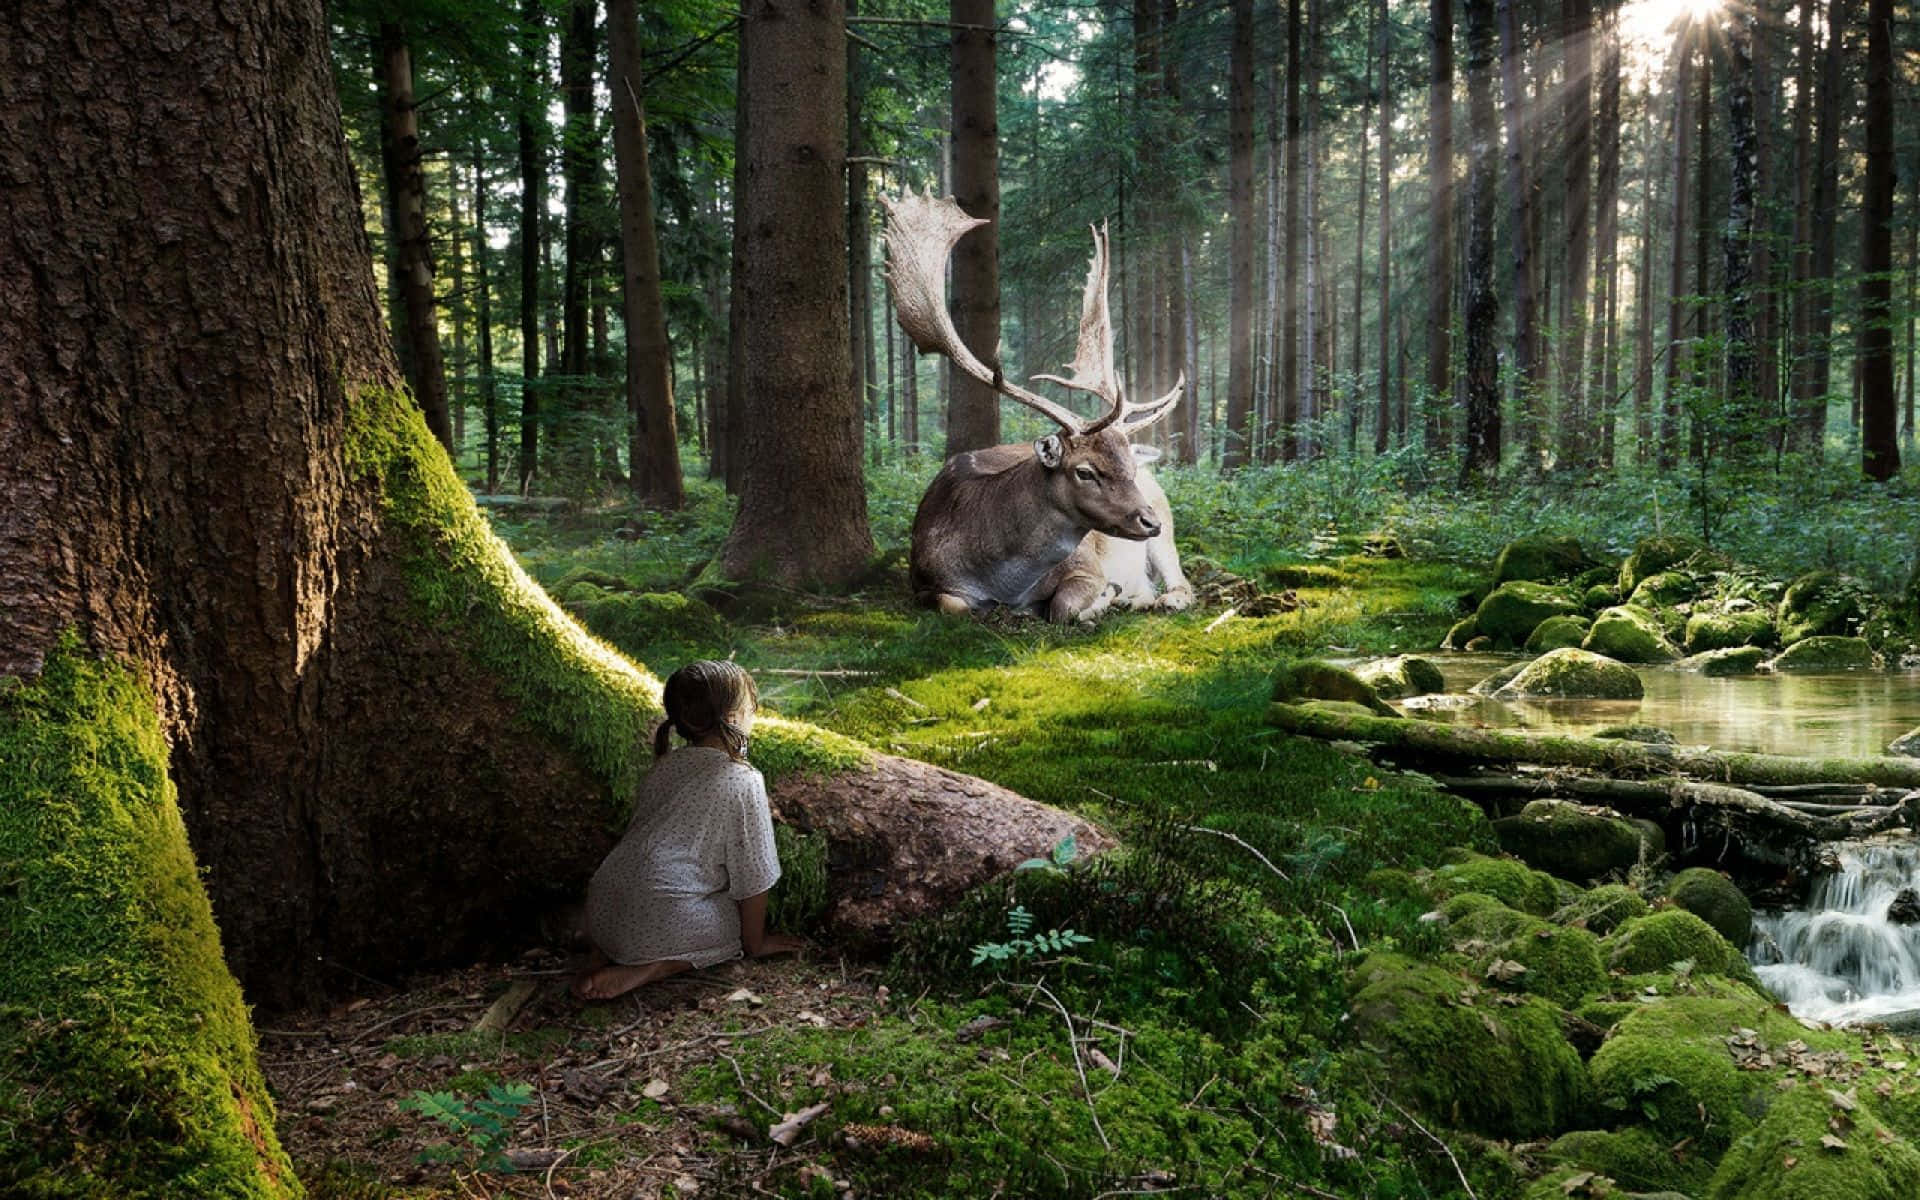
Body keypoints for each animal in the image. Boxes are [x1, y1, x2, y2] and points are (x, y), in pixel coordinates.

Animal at [881, 189, 1194, 623]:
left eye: (1129, 469)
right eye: (1085, 472)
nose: (1147, 520)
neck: (1002, 581)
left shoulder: (1087, 565)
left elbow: (1063, 606)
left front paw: (1101, 598)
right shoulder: (923, 579)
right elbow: (954, 605)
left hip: (1167, 522)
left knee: (1182, 582)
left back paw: (1157, 597)